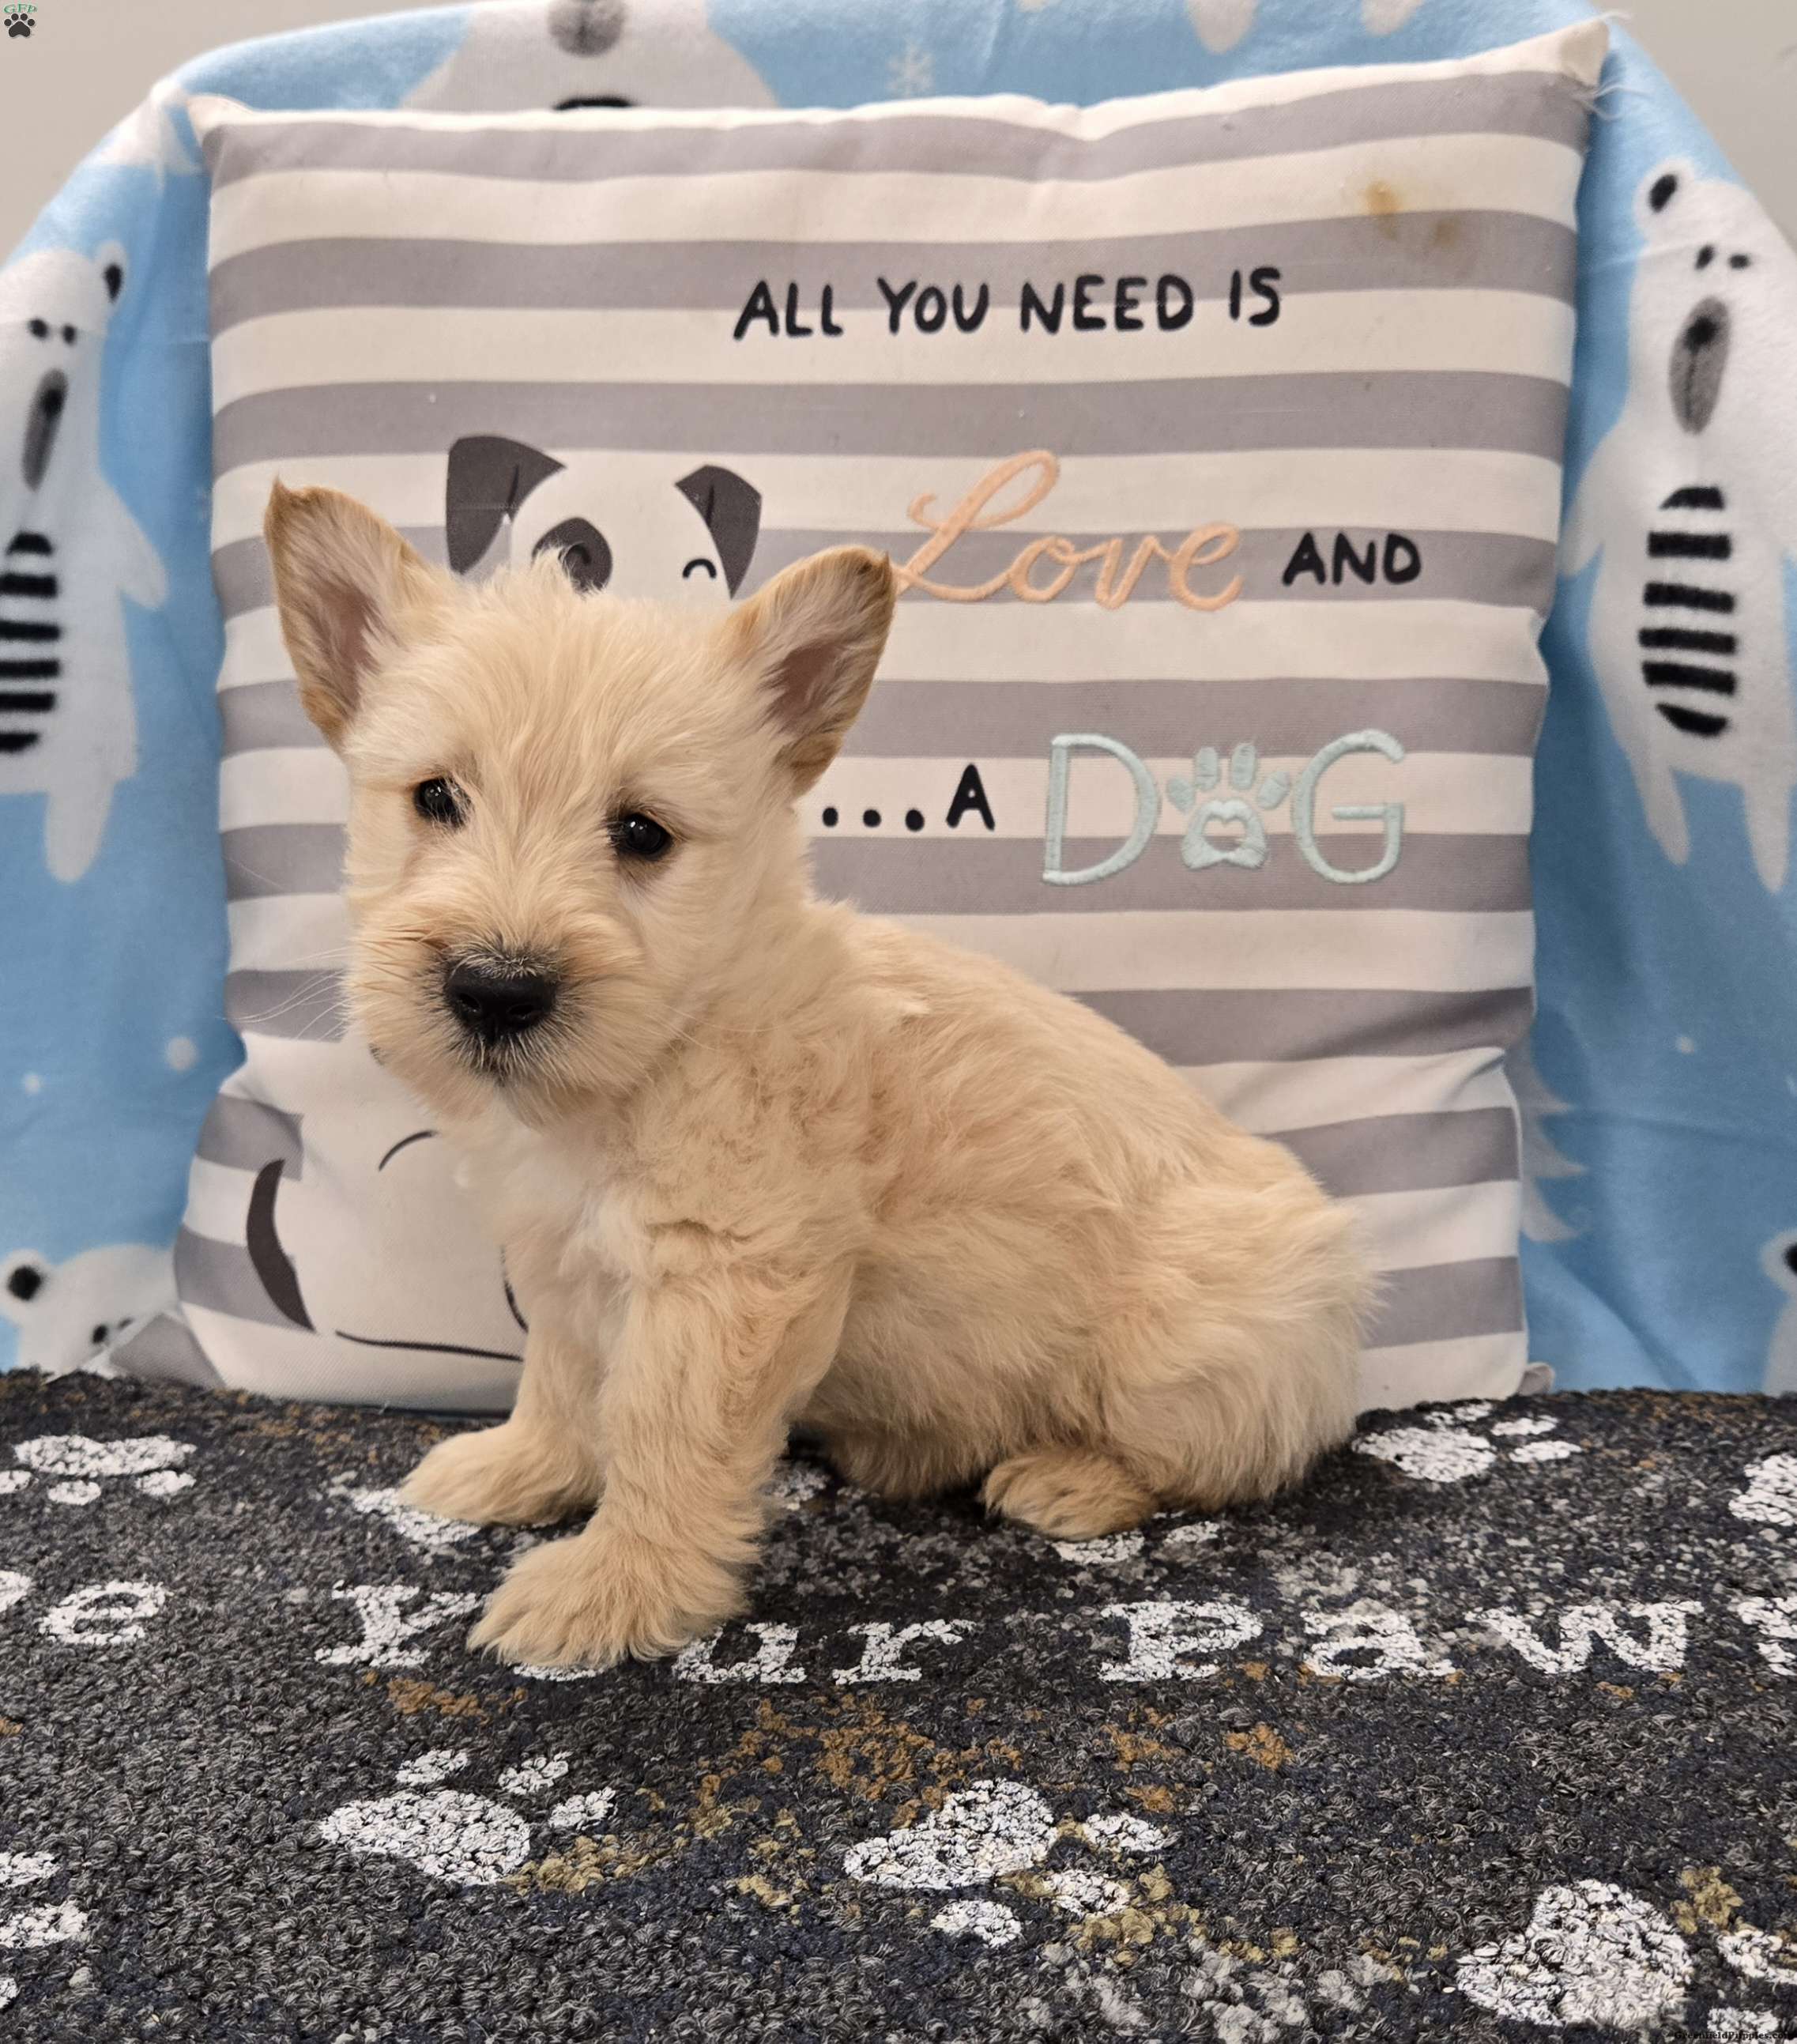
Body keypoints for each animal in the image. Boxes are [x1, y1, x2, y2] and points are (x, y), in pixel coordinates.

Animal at [263, 480, 1371, 1669]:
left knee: (1229, 1458)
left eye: (641, 832)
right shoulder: (563, 1260)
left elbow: (660, 1429)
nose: (495, 991)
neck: (656, 1057)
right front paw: (521, 1467)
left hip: (1185, 1355)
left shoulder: (723, 1275)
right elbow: (561, 1381)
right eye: (435, 799)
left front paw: (613, 1584)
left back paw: (1071, 1476)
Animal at [1565, 161, 1797, 895]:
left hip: (1767, 748)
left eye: (1741, 261)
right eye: (1698, 257)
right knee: (1655, 774)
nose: (1702, 330)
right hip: (1633, 718)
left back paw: (1763, 868)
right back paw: (1677, 833)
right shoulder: (1614, 457)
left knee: (1762, 806)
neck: (1695, 440)